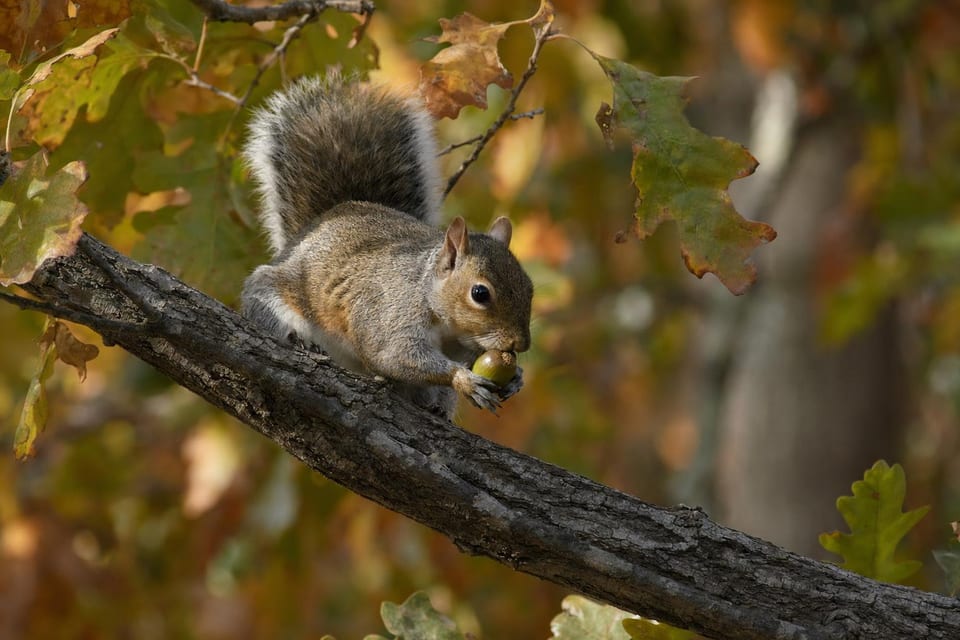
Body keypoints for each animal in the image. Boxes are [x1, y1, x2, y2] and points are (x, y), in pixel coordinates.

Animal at [240, 74, 533, 418]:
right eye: (480, 293)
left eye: (529, 288)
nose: (520, 345)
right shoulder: (390, 314)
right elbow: (394, 355)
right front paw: (464, 380)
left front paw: (516, 377)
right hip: (274, 292)